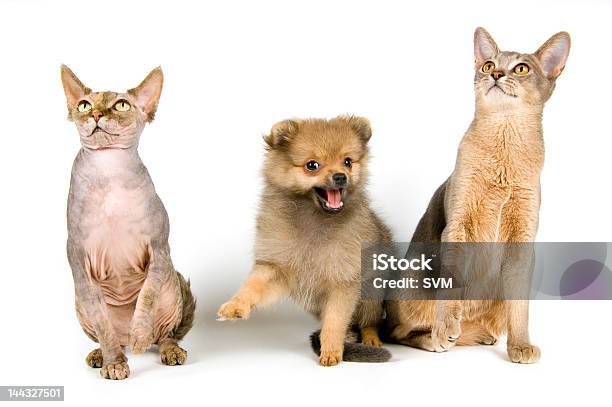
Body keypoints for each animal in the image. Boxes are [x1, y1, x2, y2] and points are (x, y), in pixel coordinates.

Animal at [218, 115, 392, 366]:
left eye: (348, 162)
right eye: (312, 165)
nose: (341, 176)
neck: (314, 219)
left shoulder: (343, 282)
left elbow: (335, 321)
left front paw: (331, 350)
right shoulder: (276, 268)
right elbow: (252, 286)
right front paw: (235, 305)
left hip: (372, 296)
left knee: (369, 321)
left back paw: (370, 339)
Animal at [384, 27, 572, 364]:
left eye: (521, 68)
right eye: (487, 64)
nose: (495, 74)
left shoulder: (523, 239)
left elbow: (520, 307)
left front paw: (520, 345)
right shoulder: (458, 226)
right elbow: (452, 284)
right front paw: (445, 327)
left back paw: (477, 334)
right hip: (414, 273)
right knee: (397, 331)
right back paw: (438, 336)